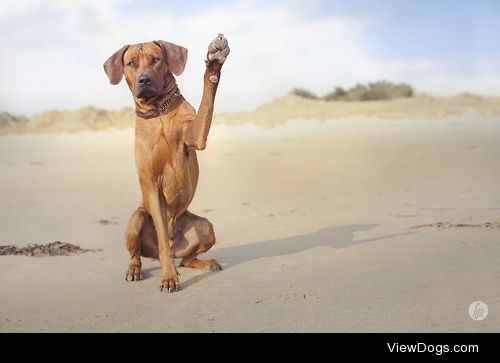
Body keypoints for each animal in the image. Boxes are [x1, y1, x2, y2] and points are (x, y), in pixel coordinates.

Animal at [104, 34, 231, 292]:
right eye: (130, 63)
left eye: (156, 59)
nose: (144, 79)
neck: (158, 112)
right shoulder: (152, 185)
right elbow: (162, 240)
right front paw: (169, 277)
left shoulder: (195, 136)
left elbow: (207, 101)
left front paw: (214, 63)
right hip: (136, 220)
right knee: (142, 254)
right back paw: (134, 270)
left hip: (206, 228)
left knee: (185, 259)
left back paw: (205, 262)